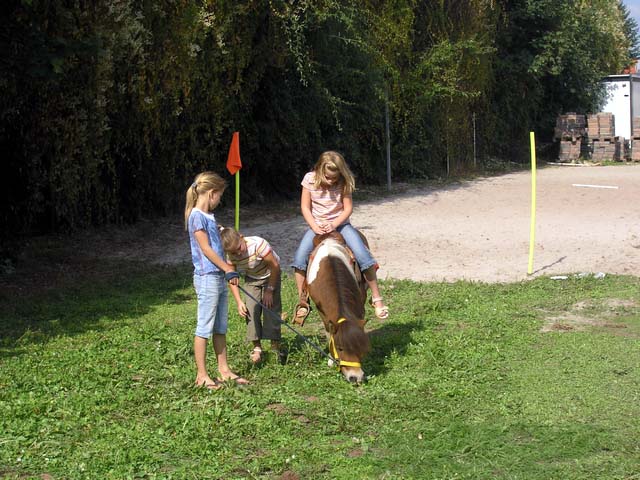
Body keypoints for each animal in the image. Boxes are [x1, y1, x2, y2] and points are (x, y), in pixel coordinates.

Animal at [304, 231, 370, 384]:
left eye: (359, 348)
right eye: (339, 348)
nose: (355, 377)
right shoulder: (322, 311)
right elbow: (329, 331)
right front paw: (331, 360)